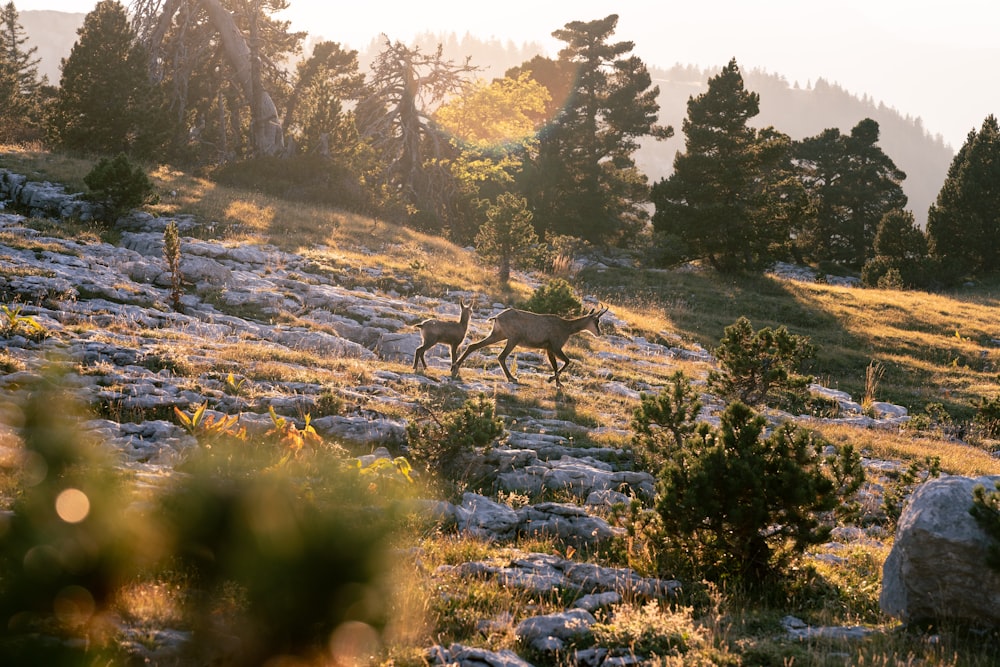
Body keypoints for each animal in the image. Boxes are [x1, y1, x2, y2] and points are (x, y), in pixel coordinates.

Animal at [454, 306, 608, 388]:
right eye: (597, 321)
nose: (599, 333)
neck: (567, 327)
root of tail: (497, 317)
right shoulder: (556, 346)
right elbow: (567, 362)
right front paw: (551, 380)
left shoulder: (549, 348)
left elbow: (555, 365)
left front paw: (558, 384)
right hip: (513, 339)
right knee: (501, 356)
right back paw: (512, 378)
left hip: (498, 335)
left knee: (473, 346)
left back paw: (455, 367)